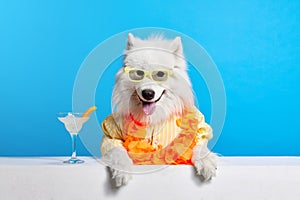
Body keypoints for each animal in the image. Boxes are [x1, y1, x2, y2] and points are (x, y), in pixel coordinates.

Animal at [102, 33, 217, 188]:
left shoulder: (199, 129)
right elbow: (117, 151)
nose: (148, 93)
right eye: (139, 73)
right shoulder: (111, 135)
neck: (153, 117)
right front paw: (122, 172)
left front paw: (206, 163)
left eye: (161, 74)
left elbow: (199, 146)